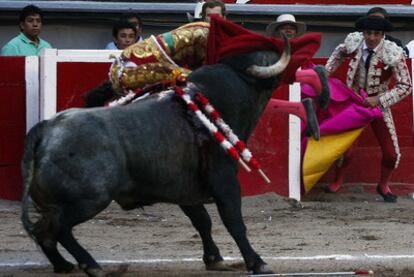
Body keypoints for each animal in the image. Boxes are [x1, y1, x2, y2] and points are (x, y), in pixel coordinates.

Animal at [20, 37, 292, 276]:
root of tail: (47, 127)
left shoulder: (184, 190)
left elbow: (202, 221)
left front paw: (214, 259)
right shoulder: (224, 181)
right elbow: (234, 222)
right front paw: (257, 263)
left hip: (56, 205)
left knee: (44, 232)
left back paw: (65, 265)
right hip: (89, 200)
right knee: (60, 229)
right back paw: (93, 266)